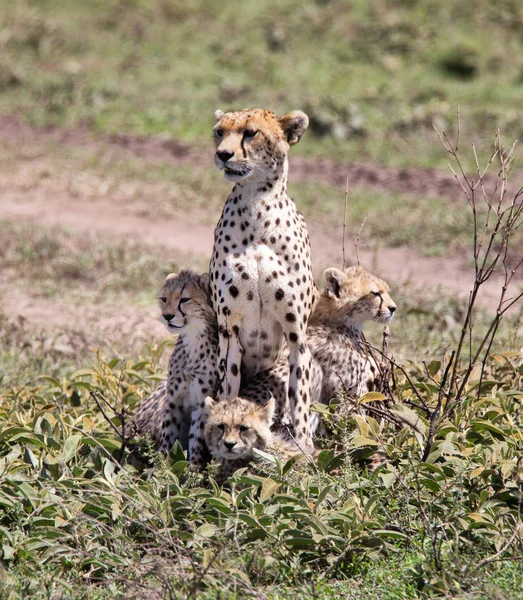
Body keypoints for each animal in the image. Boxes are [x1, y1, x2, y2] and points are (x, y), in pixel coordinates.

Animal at [211, 108, 318, 450]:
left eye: (251, 133)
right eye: (219, 132)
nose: (223, 154)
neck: (256, 207)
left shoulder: (297, 336)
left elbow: (299, 401)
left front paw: (302, 447)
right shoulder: (228, 332)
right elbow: (227, 392)